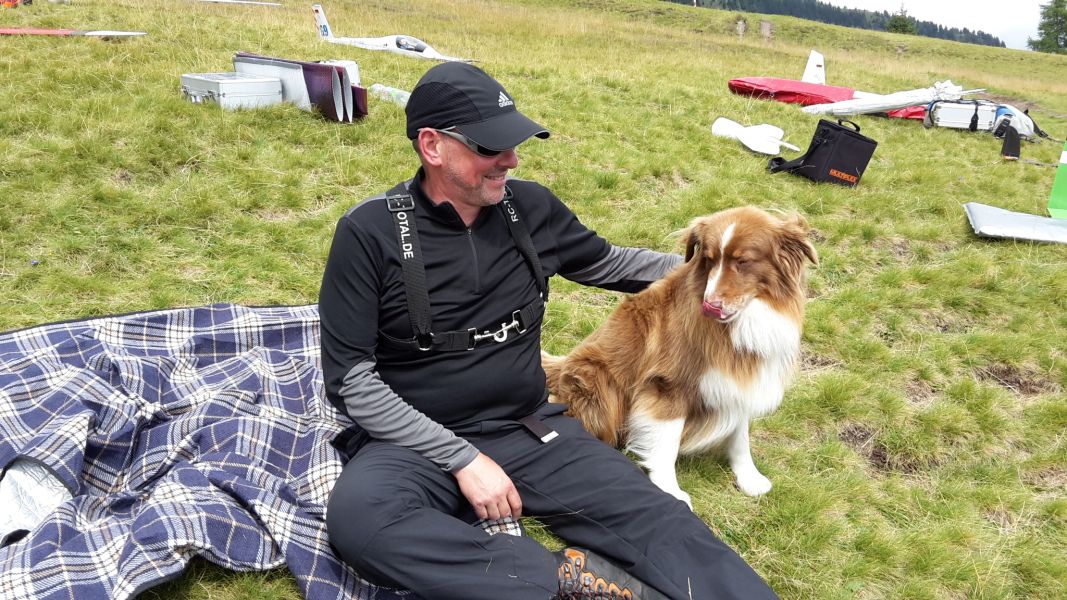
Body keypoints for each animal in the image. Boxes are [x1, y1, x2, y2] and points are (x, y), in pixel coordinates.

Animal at [542, 206, 817, 506]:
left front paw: (749, 477)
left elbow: (740, 435)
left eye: (743, 261)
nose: (710, 306)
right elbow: (666, 444)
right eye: (709, 259)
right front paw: (670, 490)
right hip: (598, 380)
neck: (742, 321)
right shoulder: (667, 386)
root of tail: (562, 365)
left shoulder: (738, 380)